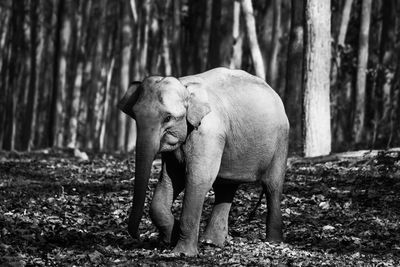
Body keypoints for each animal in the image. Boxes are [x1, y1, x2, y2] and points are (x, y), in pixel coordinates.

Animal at [117, 68, 290, 256]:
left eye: (168, 118)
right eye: (135, 115)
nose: (138, 236)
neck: (185, 86)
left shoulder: (208, 133)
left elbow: (198, 179)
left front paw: (182, 253)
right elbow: (170, 179)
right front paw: (172, 235)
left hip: (281, 142)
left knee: (272, 186)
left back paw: (273, 241)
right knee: (225, 187)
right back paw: (211, 242)